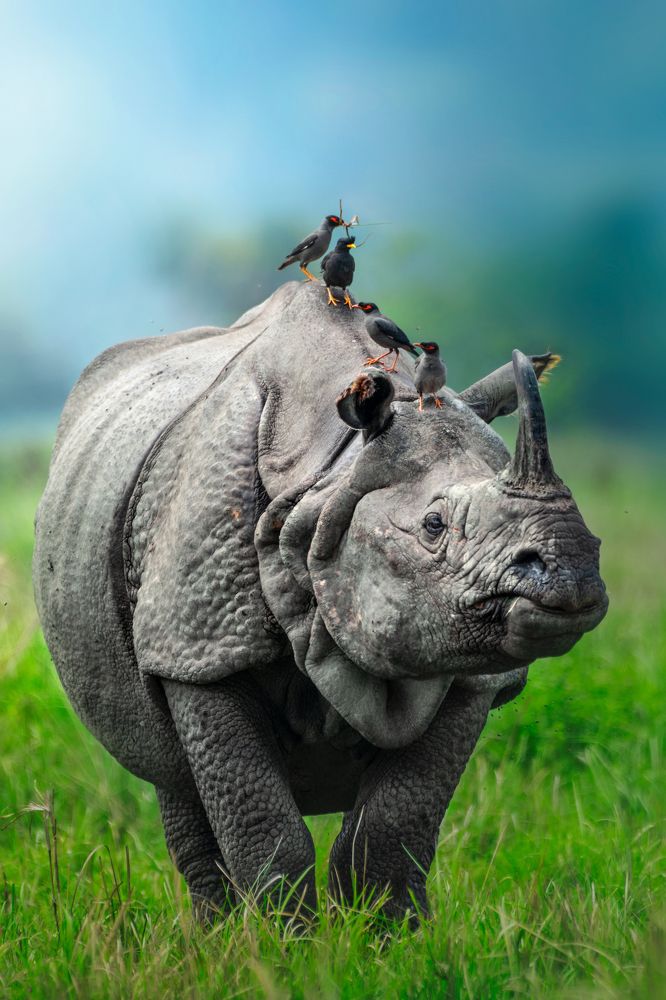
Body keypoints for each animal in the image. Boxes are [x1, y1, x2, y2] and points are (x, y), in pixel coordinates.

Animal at [33, 281, 607, 921]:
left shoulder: (468, 675)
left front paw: (387, 936)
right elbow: (263, 829)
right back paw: (217, 935)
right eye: (433, 525)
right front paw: (280, 939)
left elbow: (390, 832)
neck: (327, 477)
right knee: (175, 779)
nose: (570, 566)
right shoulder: (199, 646)